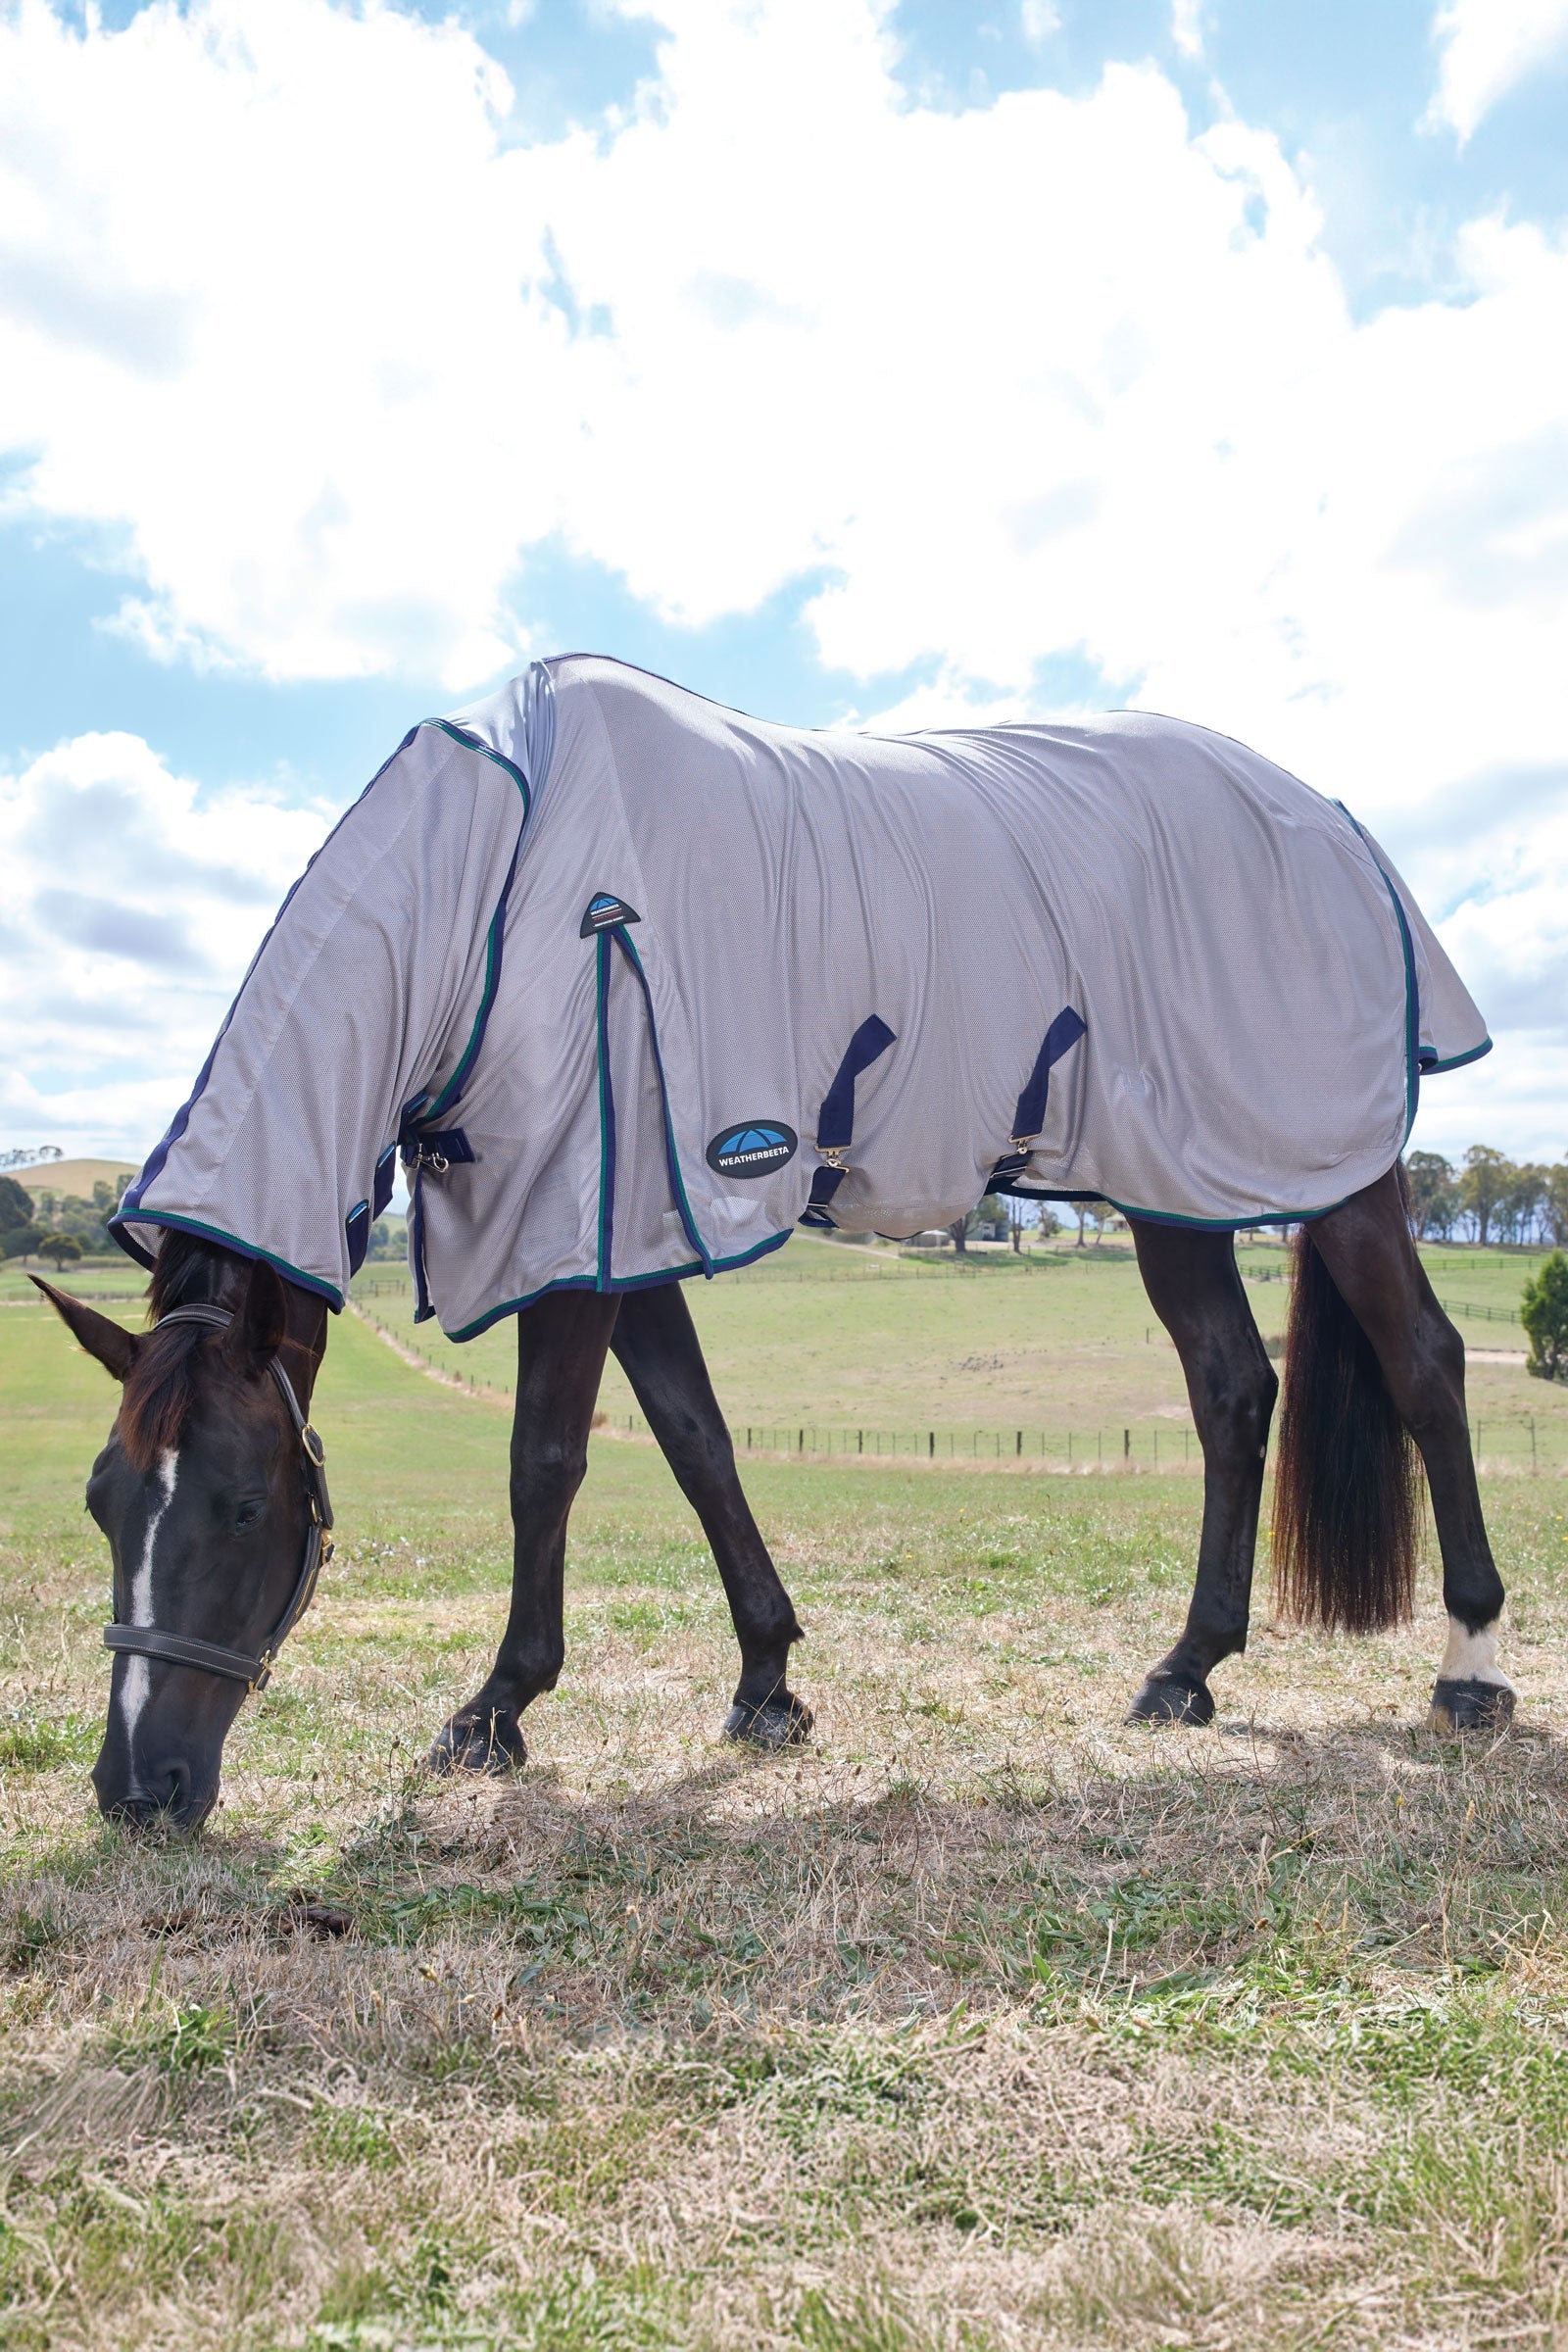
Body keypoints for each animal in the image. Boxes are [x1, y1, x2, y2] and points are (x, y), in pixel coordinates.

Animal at [36, 655, 1511, 1828]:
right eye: (105, 1503)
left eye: (241, 1504)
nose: (135, 1793)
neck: (499, 888)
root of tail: (1334, 824)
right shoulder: (623, 1226)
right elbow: (695, 1443)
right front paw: (767, 1684)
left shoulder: (573, 1219)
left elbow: (544, 1464)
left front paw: (495, 1711)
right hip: (1179, 1188)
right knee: (1230, 1389)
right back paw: (1185, 1671)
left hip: (1327, 1166)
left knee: (1423, 1362)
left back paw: (1471, 1670)